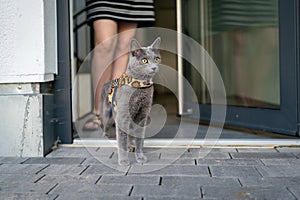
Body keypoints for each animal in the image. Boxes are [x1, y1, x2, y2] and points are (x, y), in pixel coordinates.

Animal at [101, 36, 161, 165]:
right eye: (144, 60)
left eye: (156, 59)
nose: (154, 67)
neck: (140, 86)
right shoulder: (123, 115)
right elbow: (122, 139)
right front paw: (123, 160)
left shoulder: (142, 115)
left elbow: (139, 138)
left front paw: (140, 157)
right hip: (108, 112)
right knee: (106, 125)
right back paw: (107, 135)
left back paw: (131, 146)